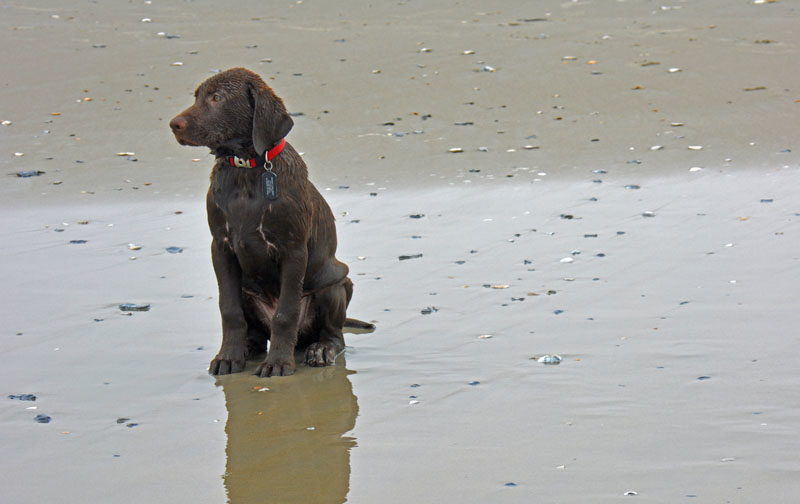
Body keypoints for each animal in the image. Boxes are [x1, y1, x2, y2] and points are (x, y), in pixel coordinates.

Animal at [170, 67, 370, 376]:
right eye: (197, 96)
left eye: (217, 98)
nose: (173, 125)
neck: (246, 170)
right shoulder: (221, 248)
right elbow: (229, 310)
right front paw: (228, 356)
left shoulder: (293, 249)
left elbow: (285, 314)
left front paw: (278, 362)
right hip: (247, 290)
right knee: (254, 330)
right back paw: (246, 348)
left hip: (335, 284)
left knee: (334, 335)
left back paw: (320, 350)